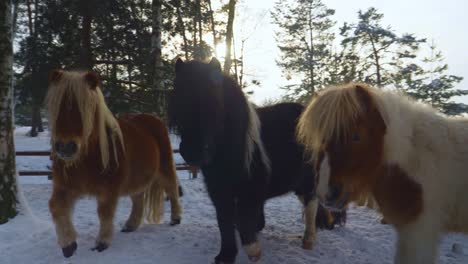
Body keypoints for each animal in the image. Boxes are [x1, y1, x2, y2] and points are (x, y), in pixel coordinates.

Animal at [45, 70, 181, 258]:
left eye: (85, 108)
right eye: (58, 107)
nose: (66, 147)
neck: (85, 160)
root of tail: (152, 118)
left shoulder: (108, 190)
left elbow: (105, 213)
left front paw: (102, 242)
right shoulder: (65, 187)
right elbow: (56, 207)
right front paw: (68, 244)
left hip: (164, 168)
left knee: (172, 189)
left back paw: (175, 218)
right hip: (136, 179)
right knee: (138, 199)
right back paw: (131, 225)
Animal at [167, 58, 344, 264]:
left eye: (216, 102)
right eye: (178, 100)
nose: (193, 151)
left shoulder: (250, 191)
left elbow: (243, 219)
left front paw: (253, 251)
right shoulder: (219, 192)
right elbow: (224, 222)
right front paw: (226, 255)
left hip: (308, 179)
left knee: (310, 204)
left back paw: (308, 240)